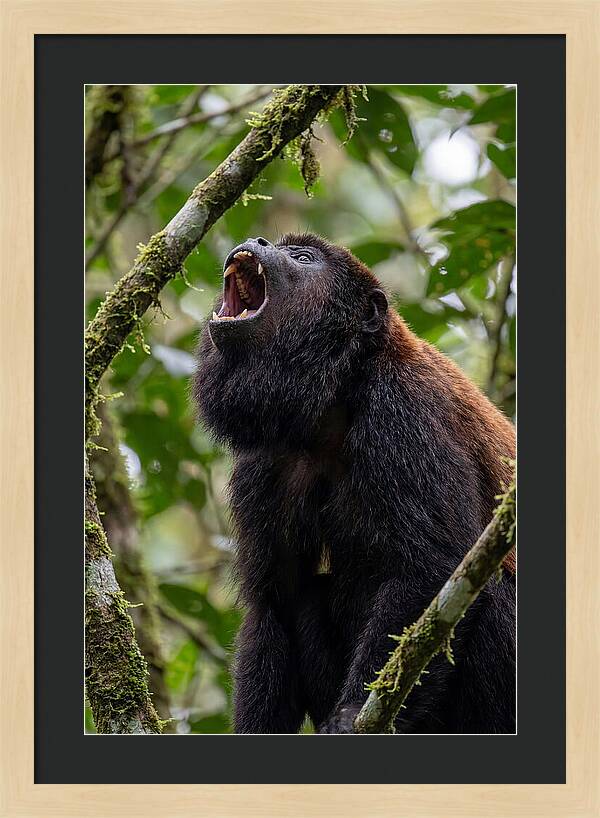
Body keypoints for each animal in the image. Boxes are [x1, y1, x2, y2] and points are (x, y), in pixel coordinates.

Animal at [193, 233, 515, 734]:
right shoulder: (264, 461)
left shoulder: (402, 411)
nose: (258, 240)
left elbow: (433, 567)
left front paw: (349, 714)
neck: (337, 395)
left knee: (493, 587)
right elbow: (274, 602)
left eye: (303, 258)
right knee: (306, 596)